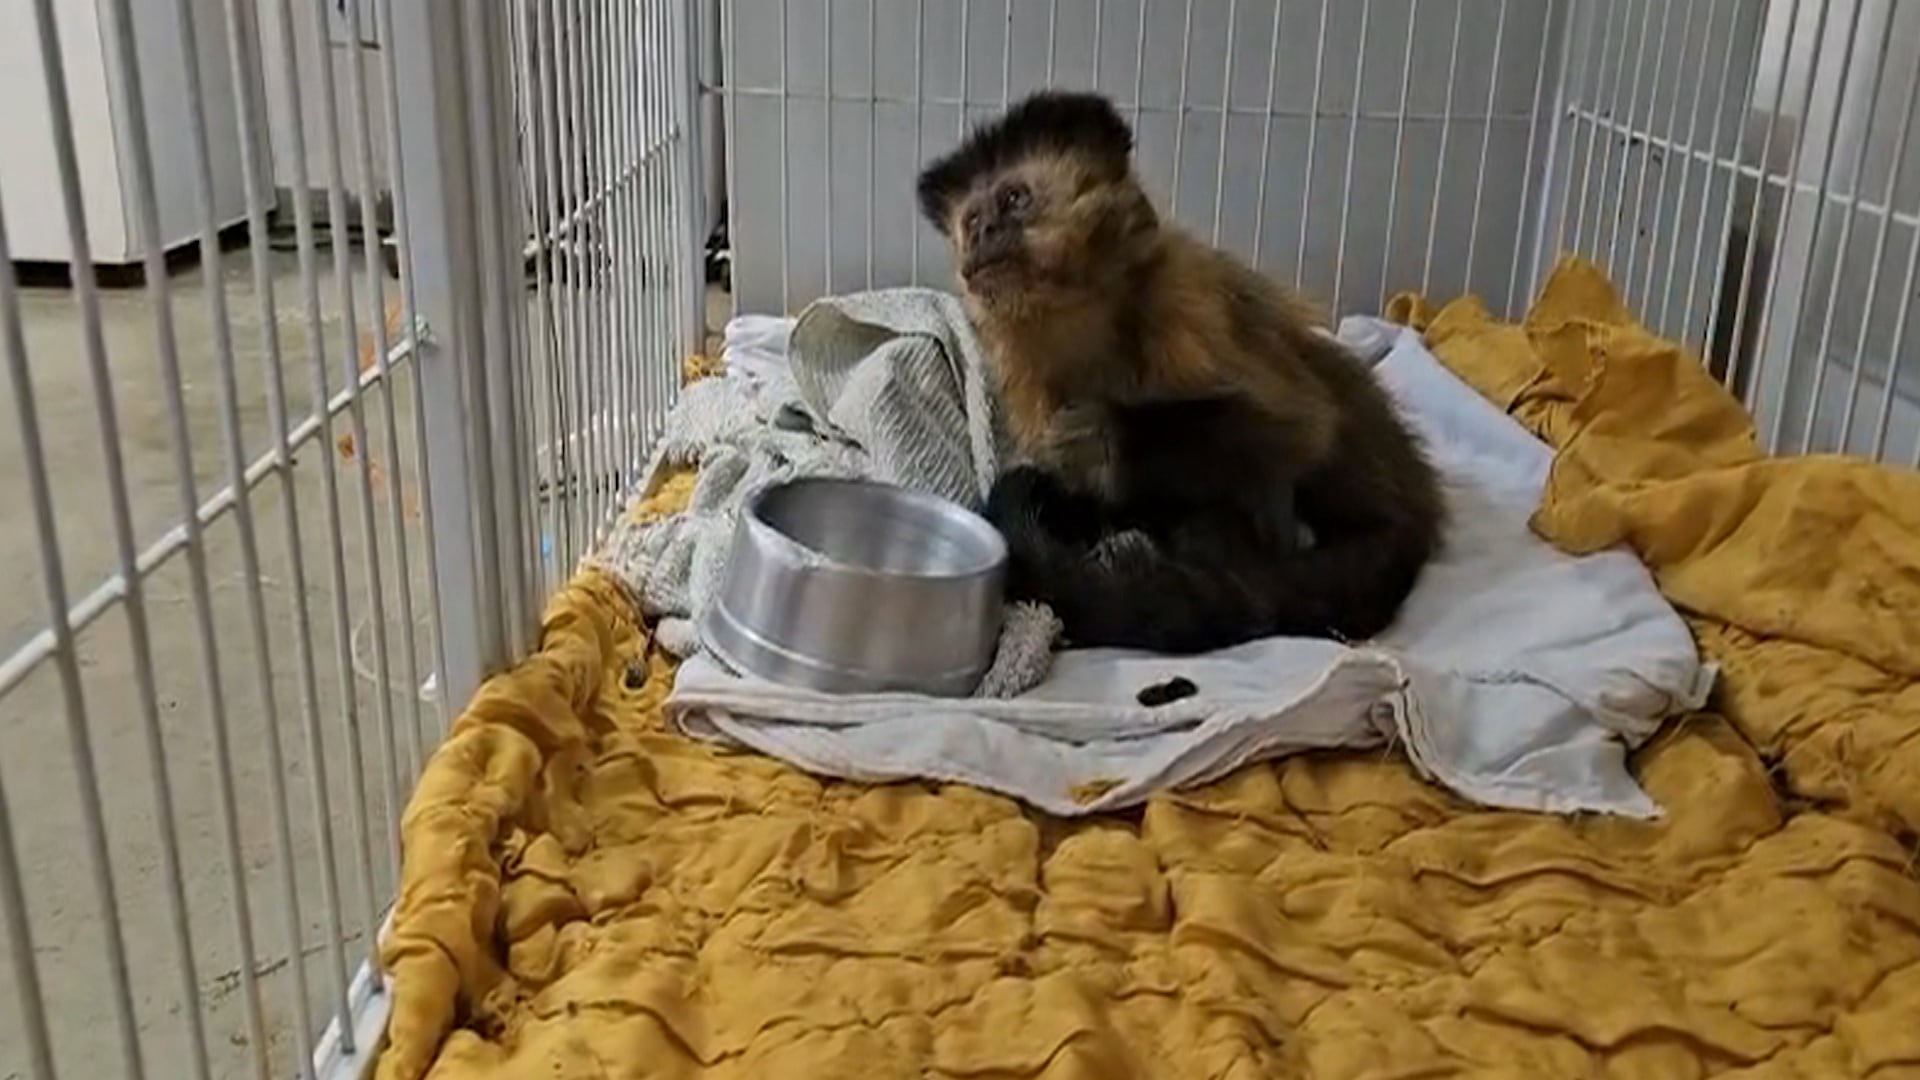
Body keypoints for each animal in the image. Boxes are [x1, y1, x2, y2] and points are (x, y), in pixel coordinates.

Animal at [916, 91, 1444, 654]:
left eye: (1015, 198)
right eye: (971, 220)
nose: (983, 233)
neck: (1083, 324)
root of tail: (1415, 510)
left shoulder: (1186, 298)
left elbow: (1299, 428)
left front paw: (1107, 438)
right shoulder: (1030, 380)